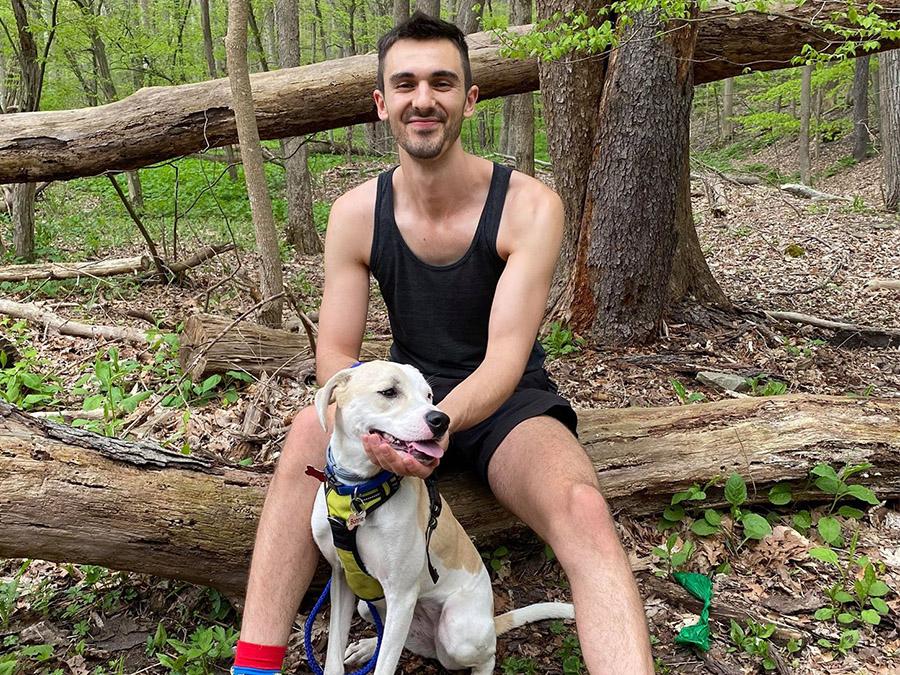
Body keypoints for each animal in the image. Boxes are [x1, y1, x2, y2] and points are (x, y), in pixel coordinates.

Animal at [312, 362, 572, 675]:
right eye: (389, 392)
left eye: (428, 395)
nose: (440, 420)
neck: (357, 494)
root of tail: (491, 619)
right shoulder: (341, 577)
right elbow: (334, 656)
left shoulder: (401, 595)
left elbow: (385, 666)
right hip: (371, 606)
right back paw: (367, 646)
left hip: (456, 634)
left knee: (485, 655)